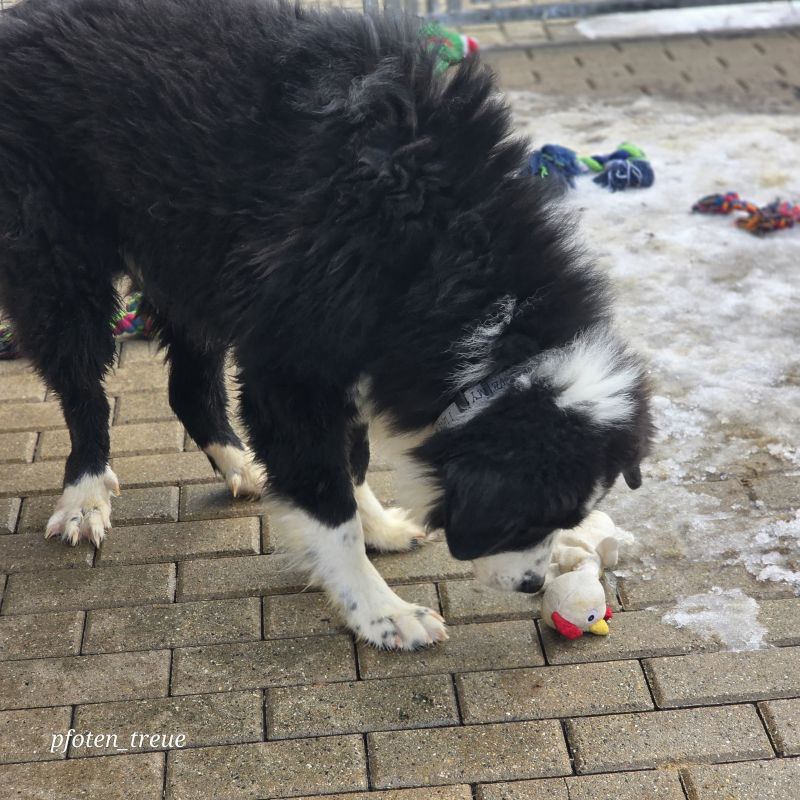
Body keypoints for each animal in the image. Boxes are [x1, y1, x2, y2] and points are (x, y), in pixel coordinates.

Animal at [0, 0, 651, 650]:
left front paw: (378, 524)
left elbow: (352, 455)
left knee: (187, 387)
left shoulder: (355, 348)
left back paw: (242, 466)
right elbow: (329, 508)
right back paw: (85, 497)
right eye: (527, 518)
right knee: (84, 391)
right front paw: (382, 612)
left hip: (188, 264)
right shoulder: (291, 369)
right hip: (61, 264)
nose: (533, 586)